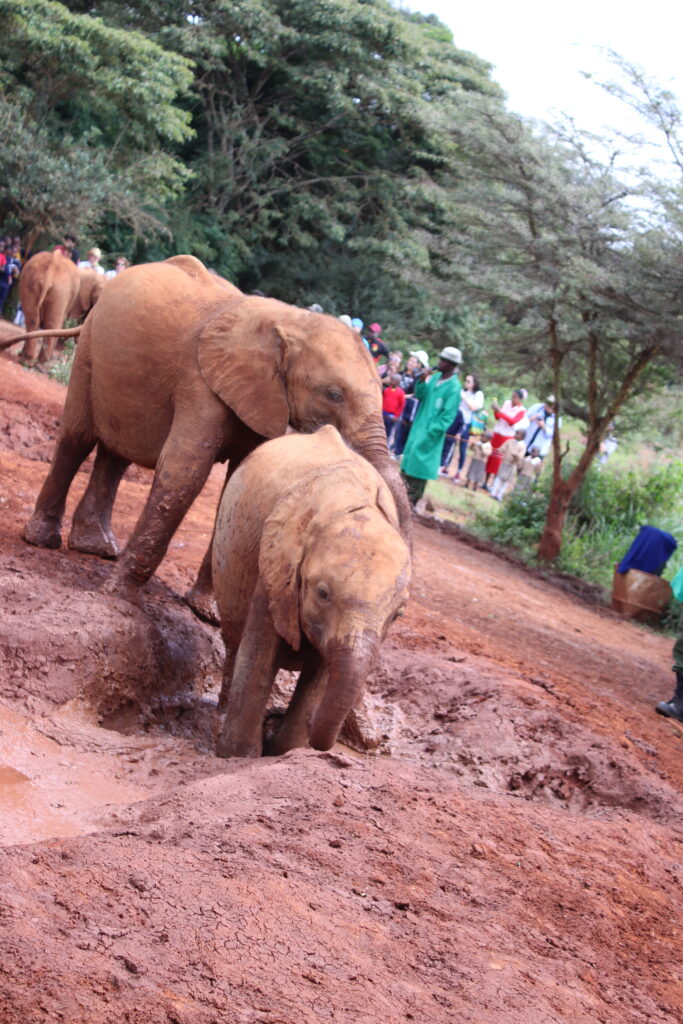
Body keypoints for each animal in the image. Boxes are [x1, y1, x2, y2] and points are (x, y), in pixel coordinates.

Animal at [22, 253, 411, 614]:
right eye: (333, 394)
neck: (291, 320)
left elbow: (241, 482)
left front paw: (206, 612)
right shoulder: (200, 381)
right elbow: (184, 474)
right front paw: (117, 596)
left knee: (118, 453)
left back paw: (97, 548)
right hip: (89, 346)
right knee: (77, 438)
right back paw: (42, 539)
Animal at [211, 419, 411, 757]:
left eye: (397, 616)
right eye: (322, 594)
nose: (272, 721)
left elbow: (320, 675)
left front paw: (283, 750)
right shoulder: (276, 563)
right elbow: (259, 655)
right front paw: (238, 756)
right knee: (235, 642)